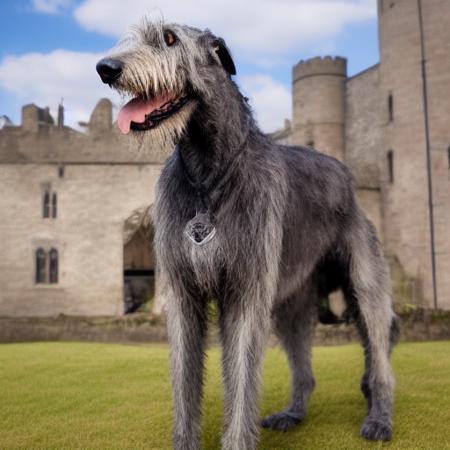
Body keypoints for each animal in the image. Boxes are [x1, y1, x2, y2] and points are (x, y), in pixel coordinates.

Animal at [96, 19, 400, 450]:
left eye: (170, 38)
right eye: (132, 37)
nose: (106, 68)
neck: (208, 174)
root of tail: (348, 177)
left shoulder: (245, 292)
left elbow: (241, 379)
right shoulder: (183, 295)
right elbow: (184, 380)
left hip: (365, 286)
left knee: (380, 355)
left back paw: (379, 420)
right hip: (292, 305)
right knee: (305, 370)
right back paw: (292, 414)